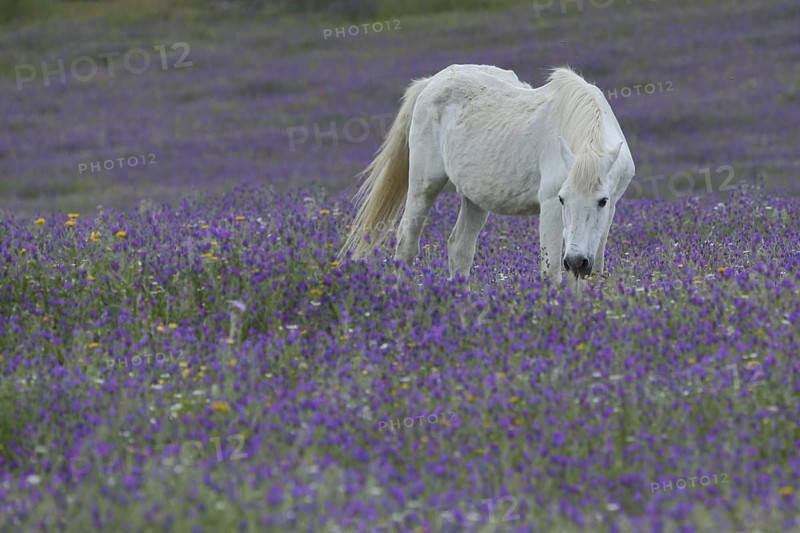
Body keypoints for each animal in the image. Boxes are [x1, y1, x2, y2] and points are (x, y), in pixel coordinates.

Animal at [339, 64, 635, 287]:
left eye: (602, 201)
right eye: (563, 199)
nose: (575, 260)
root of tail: (430, 82)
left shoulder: (606, 217)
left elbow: (591, 273)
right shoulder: (550, 207)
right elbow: (552, 274)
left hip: (475, 199)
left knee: (459, 249)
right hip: (424, 186)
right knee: (406, 244)